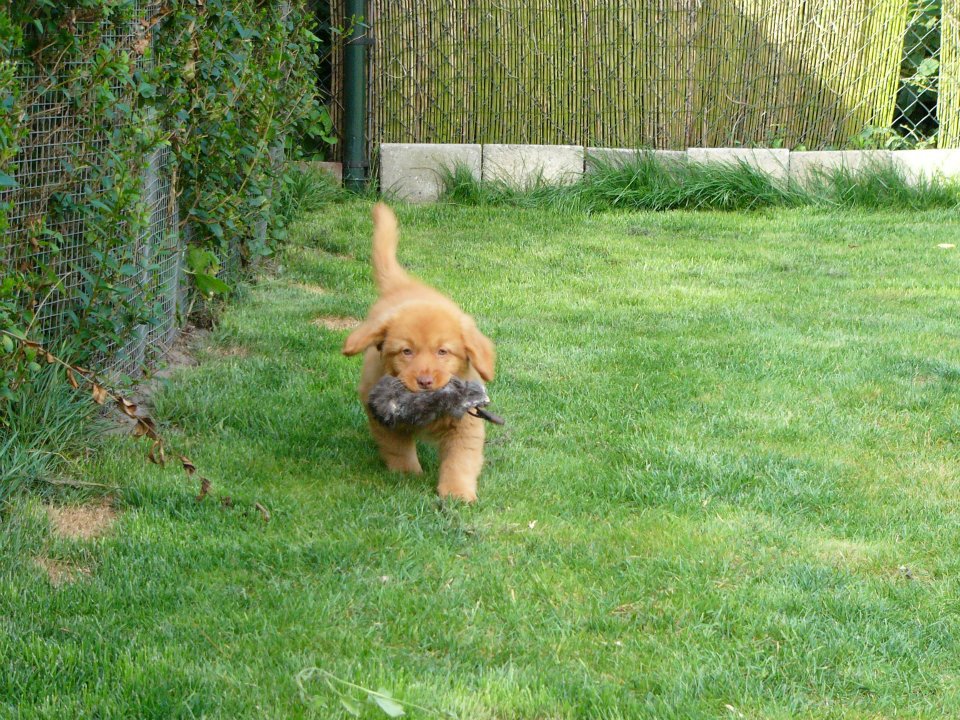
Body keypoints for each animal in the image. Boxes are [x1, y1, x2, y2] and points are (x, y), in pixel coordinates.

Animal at [342, 203, 496, 502]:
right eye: (406, 352)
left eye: (443, 352)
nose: (425, 382)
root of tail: (403, 287)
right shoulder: (382, 415)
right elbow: (398, 447)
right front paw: (407, 475)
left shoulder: (465, 423)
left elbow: (461, 458)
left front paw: (457, 492)